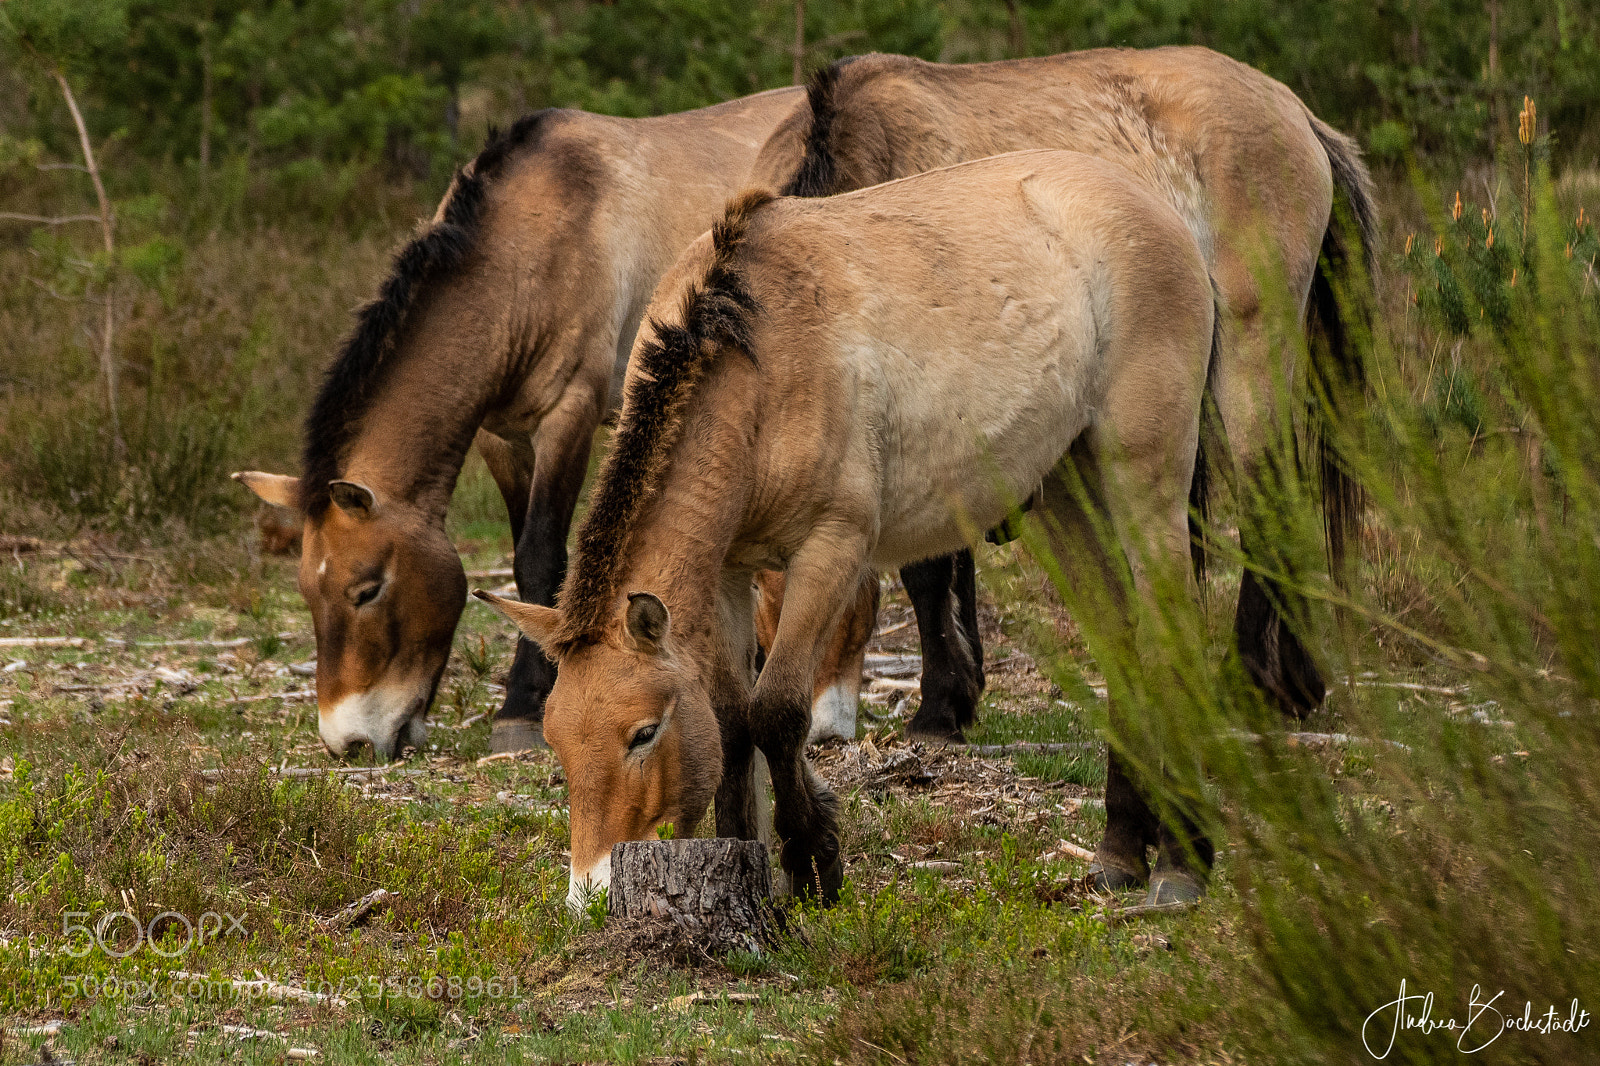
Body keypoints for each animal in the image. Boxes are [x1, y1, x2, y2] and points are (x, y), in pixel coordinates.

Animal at [232, 88, 819, 759]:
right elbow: (519, 557)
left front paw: (520, 712)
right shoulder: (501, 436)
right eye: (307, 591)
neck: (527, 255)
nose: (347, 741)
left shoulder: (569, 414)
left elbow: (541, 558)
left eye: (367, 589)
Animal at [476, 149, 1222, 909]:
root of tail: (1147, 201)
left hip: (1145, 481)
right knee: (1123, 646)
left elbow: (776, 711)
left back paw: (1181, 867)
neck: (758, 359)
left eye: (644, 733)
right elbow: (732, 717)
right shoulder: (727, 573)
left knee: (1174, 641)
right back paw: (1119, 855)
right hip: (1065, 493)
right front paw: (746, 866)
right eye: (556, 739)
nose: (590, 890)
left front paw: (814, 862)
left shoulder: (831, 552)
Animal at [750, 48, 1377, 765]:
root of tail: (1296, 113)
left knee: (1269, 494)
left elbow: (929, 571)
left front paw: (939, 705)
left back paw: (1250, 681)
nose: (822, 728)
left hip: (1252, 347)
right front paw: (955, 698)